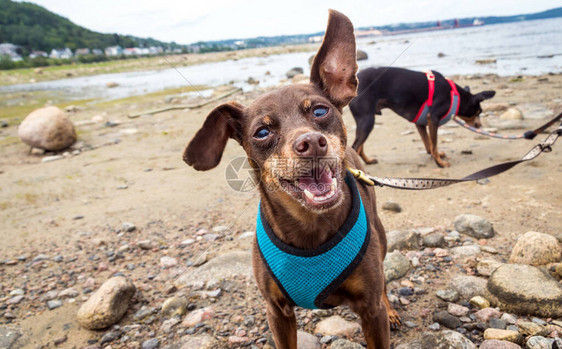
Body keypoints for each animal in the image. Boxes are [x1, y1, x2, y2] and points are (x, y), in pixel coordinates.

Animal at [182, 10, 396, 348]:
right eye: (262, 132)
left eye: (320, 111)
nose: (311, 142)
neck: (310, 226)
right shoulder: (277, 312)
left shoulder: (369, 310)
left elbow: (377, 305)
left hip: (381, 236)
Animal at [350, 67, 494, 167]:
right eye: (479, 111)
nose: (479, 125)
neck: (454, 95)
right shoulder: (433, 118)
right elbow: (434, 144)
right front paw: (440, 163)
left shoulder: (420, 123)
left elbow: (428, 144)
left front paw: (436, 156)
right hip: (367, 120)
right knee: (355, 147)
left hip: (366, 122)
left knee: (358, 148)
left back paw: (368, 162)